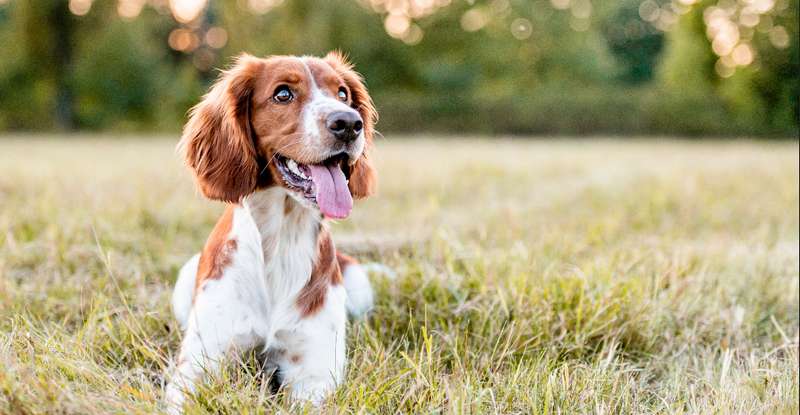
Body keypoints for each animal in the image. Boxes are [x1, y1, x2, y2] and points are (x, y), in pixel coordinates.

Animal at [166, 52, 378, 412]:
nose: (349, 123)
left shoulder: (314, 374)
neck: (282, 240)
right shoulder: (196, 366)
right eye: (283, 94)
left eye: (342, 94)